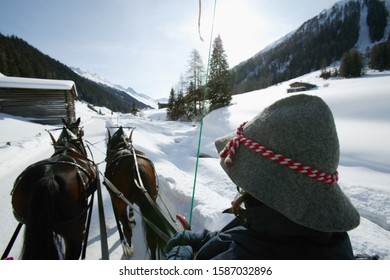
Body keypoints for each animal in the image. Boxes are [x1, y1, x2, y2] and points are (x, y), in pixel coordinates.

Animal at [104, 127, 176, 258]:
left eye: (108, 145)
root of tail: (136, 167)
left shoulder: (114, 198)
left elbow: (120, 222)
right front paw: (132, 218)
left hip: (119, 201)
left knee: (127, 229)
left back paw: (128, 247)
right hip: (152, 198)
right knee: (152, 238)